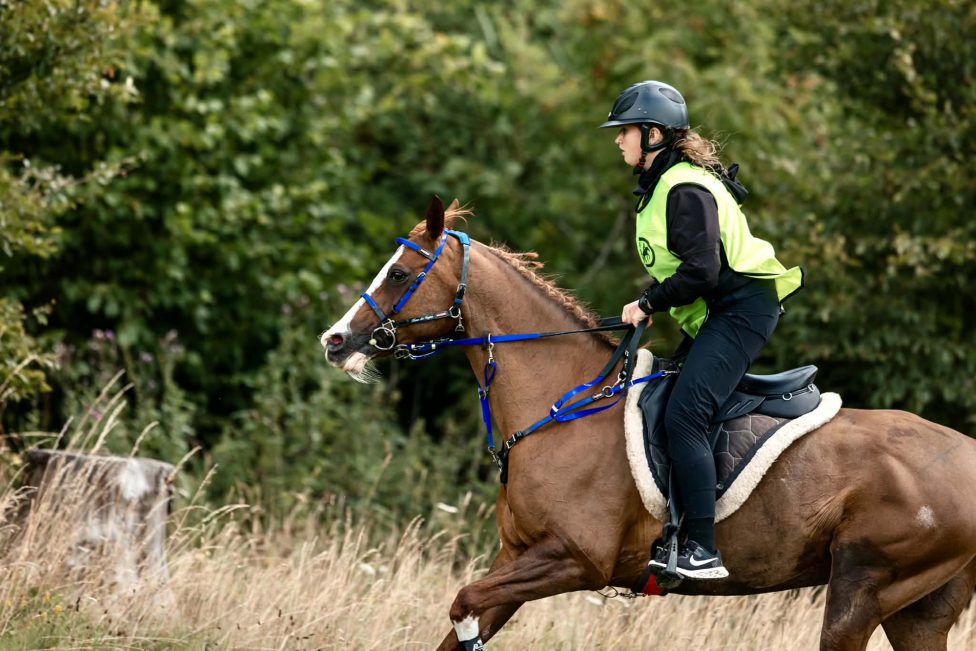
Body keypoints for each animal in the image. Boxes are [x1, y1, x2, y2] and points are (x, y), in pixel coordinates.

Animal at [321, 196, 976, 651]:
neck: (562, 403)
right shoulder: (517, 559)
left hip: (862, 591)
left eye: (398, 275)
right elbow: (462, 619)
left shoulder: (574, 560)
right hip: (916, 613)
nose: (335, 340)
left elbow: (462, 604)